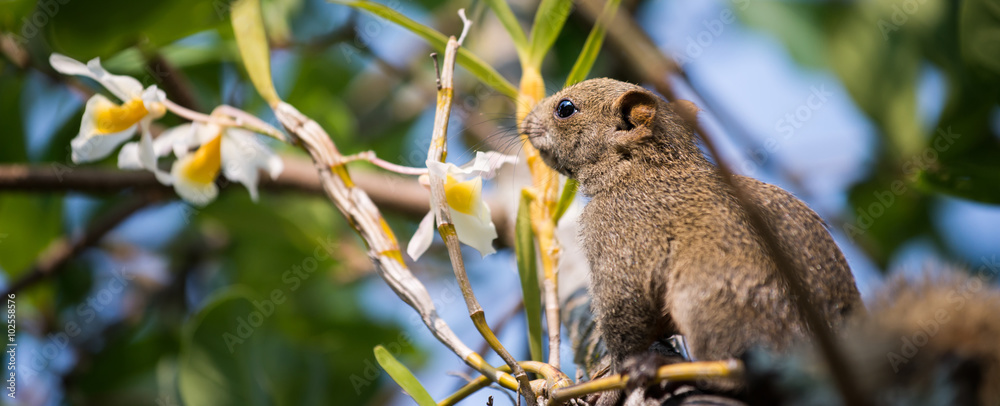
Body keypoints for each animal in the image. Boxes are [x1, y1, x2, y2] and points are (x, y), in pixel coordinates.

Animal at [520, 77, 864, 398]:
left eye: (565, 108)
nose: (525, 121)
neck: (642, 170)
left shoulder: (618, 235)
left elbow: (623, 318)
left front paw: (613, 379)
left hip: (709, 305)